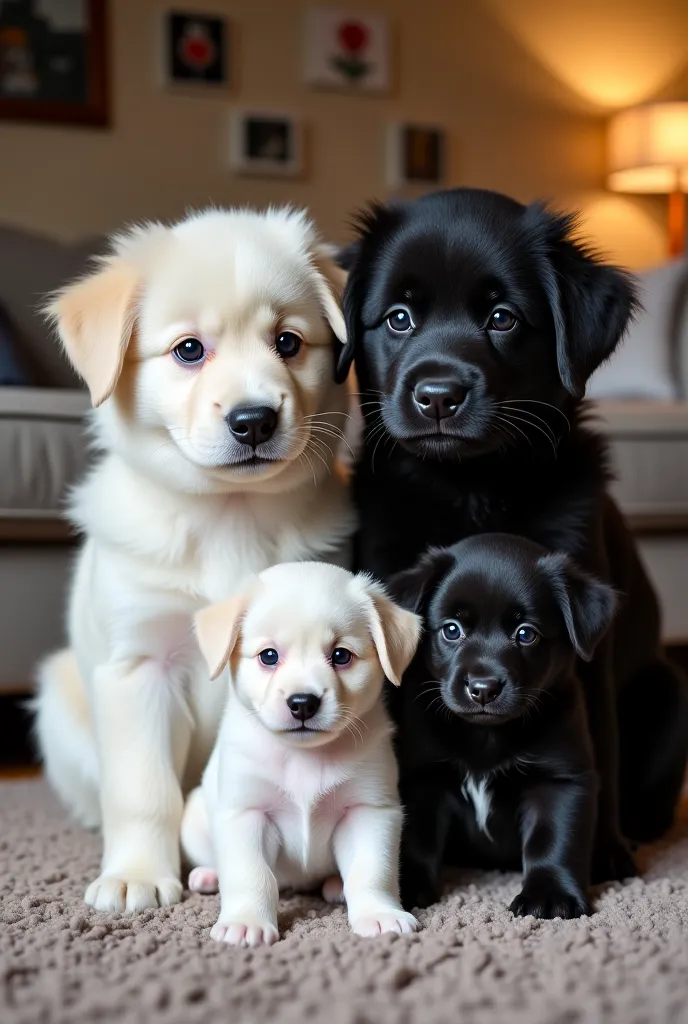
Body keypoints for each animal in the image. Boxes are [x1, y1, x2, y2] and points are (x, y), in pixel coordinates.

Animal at [33, 205, 354, 913]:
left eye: (288, 342)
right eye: (188, 350)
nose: (254, 420)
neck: (228, 518)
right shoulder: (139, 667)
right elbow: (143, 791)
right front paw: (136, 875)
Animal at [180, 561, 421, 942]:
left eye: (340, 655)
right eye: (269, 656)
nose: (303, 702)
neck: (303, 757)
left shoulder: (369, 811)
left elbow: (372, 871)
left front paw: (380, 913)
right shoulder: (246, 813)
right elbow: (251, 875)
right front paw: (246, 921)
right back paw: (208, 874)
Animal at [341, 186, 688, 880]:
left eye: (502, 318)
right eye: (398, 318)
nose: (438, 395)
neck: (471, 489)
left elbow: (598, 746)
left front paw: (599, 854)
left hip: (670, 693)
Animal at [389, 536, 622, 921]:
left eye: (526, 633)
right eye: (451, 629)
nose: (483, 688)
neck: (486, 737)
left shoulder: (561, 781)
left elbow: (554, 841)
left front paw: (550, 894)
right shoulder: (422, 779)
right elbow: (415, 840)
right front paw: (403, 888)